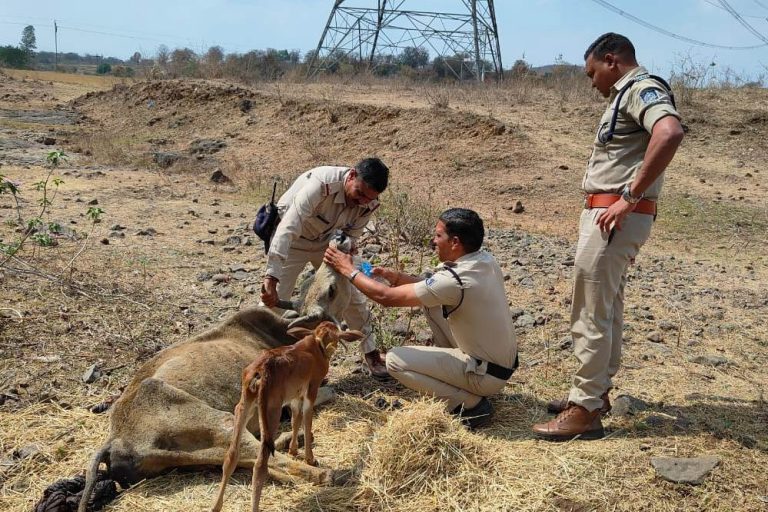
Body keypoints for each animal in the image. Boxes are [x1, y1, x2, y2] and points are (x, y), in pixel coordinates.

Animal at [210, 322, 364, 510]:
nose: (331, 349)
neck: (314, 347)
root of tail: (261, 371)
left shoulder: (295, 395)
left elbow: (295, 419)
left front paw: (293, 449)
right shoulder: (311, 389)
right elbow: (306, 419)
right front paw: (310, 458)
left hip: (244, 406)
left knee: (231, 455)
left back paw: (215, 506)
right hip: (271, 412)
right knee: (260, 465)